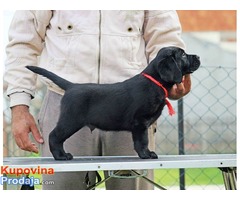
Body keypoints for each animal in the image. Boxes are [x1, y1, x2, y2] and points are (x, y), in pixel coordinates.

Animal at [26, 46, 201, 160]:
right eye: (183, 55)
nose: (198, 57)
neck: (155, 82)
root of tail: (72, 86)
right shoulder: (140, 122)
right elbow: (142, 141)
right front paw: (146, 154)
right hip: (70, 120)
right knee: (54, 136)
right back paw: (61, 156)